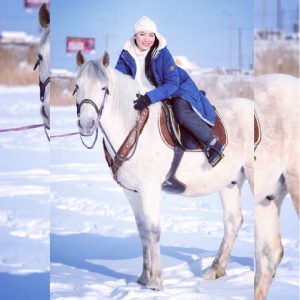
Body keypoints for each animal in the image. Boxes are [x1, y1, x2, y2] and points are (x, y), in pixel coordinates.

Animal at [74, 51, 253, 290]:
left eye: (104, 88)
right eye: (77, 86)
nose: (87, 124)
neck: (133, 128)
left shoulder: (149, 188)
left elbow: (153, 230)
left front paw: (156, 281)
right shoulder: (131, 191)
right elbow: (142, 232)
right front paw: (143, 277)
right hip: (229, 183)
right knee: (233, 222)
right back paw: (215, 270)